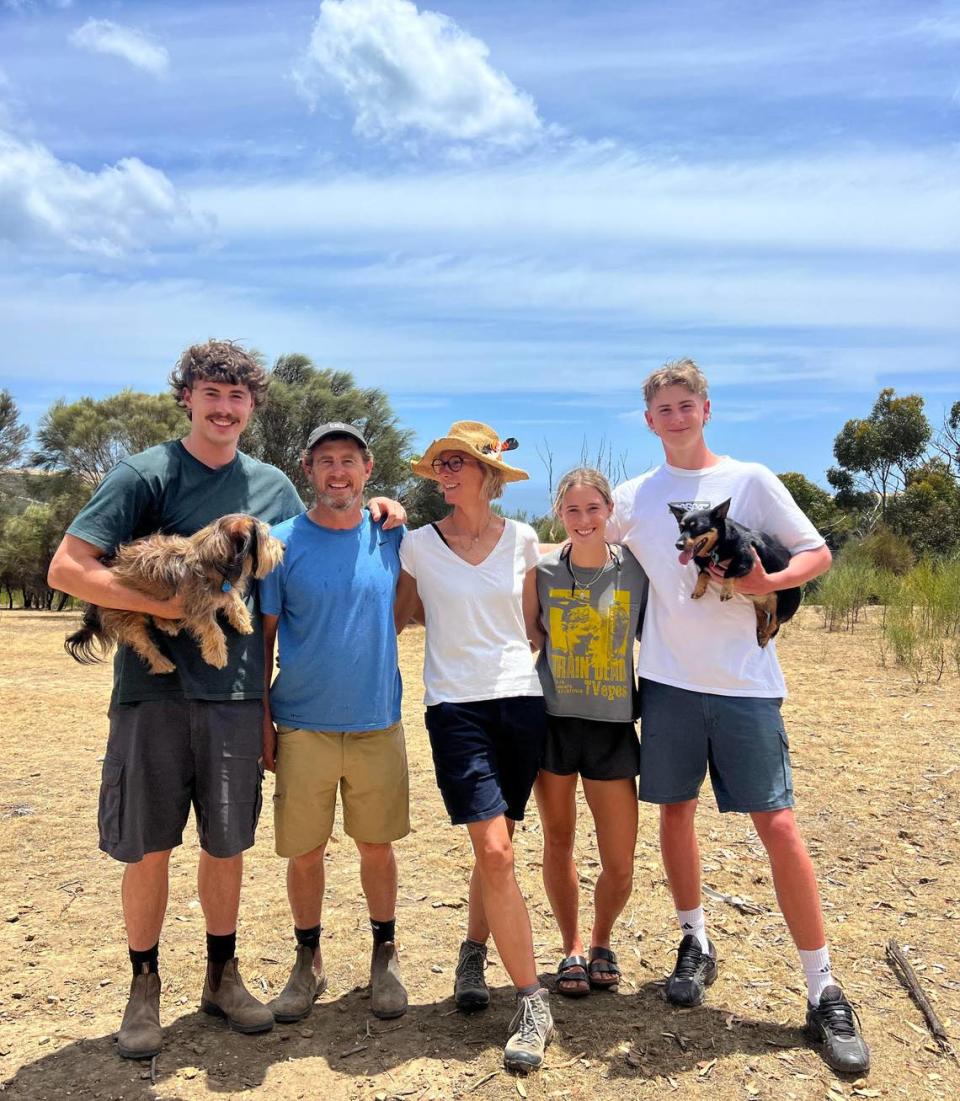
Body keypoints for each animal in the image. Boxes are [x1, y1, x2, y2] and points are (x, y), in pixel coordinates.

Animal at [62, 517, 280, 678]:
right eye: (266, 537)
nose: (284, 547)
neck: (210, 557)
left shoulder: (222, 587)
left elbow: (232, 599)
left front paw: (243, 621)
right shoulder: (196, 607)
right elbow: (213, 629)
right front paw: (217, 656)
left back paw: (166, 624)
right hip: (123, 612)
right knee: (144, 644)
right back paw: (161, 662)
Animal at [669, 497, 801, 642]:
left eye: (697, 527)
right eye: (681, 527)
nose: (678, 545)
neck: (717, 547)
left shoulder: (746, 558)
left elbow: (729, 571)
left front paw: (726, 591)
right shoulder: (706, 566)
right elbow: (703, 573)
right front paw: (698, 589)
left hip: (782, 608)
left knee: (774, 625)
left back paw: (764, 637)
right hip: (759, 604)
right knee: (763, 615)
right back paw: (760, 629)